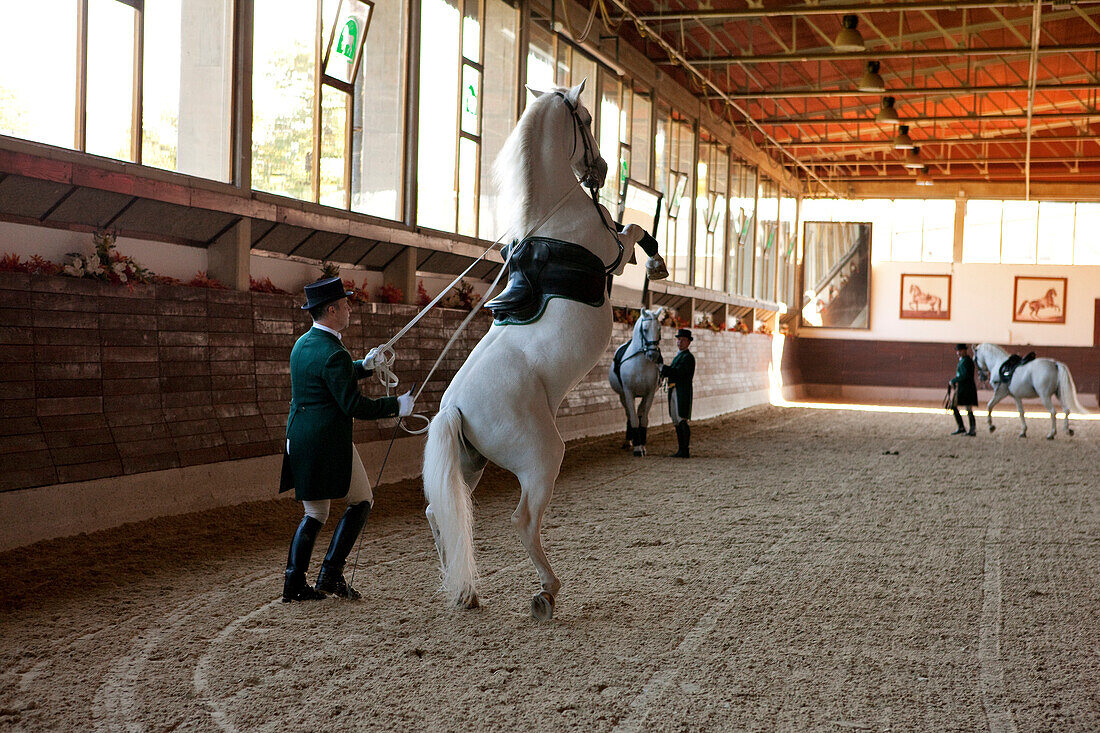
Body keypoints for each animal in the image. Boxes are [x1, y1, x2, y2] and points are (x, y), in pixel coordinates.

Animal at [607, 305, 664, 453]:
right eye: (645, 329)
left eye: (659, 329)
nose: (653, 355)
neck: (640, 363)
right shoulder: (628, 393)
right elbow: (633, 418)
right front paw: (637, 448)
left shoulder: (649, 393)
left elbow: (643, 419)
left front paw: (642, 444)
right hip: (622, 395)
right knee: (629, 414)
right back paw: (628, 441)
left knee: (640, 412)